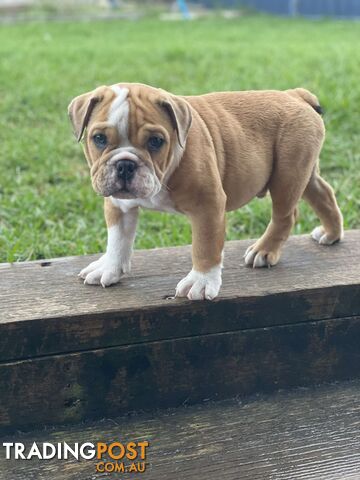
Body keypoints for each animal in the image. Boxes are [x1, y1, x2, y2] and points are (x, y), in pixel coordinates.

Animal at [68, 83, 344, 300]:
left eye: (156, 141)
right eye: (99, 139)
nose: (125, 164)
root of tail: (295, 95)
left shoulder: (208, 205)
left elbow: (205, 245)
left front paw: (200, 283)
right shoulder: (119, 206)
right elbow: (118, 239)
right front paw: (109, 268)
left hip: (288, 174)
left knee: (286, 216)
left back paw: (264, 251)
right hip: (303, 172)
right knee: (323, 193)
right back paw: (330, 234)